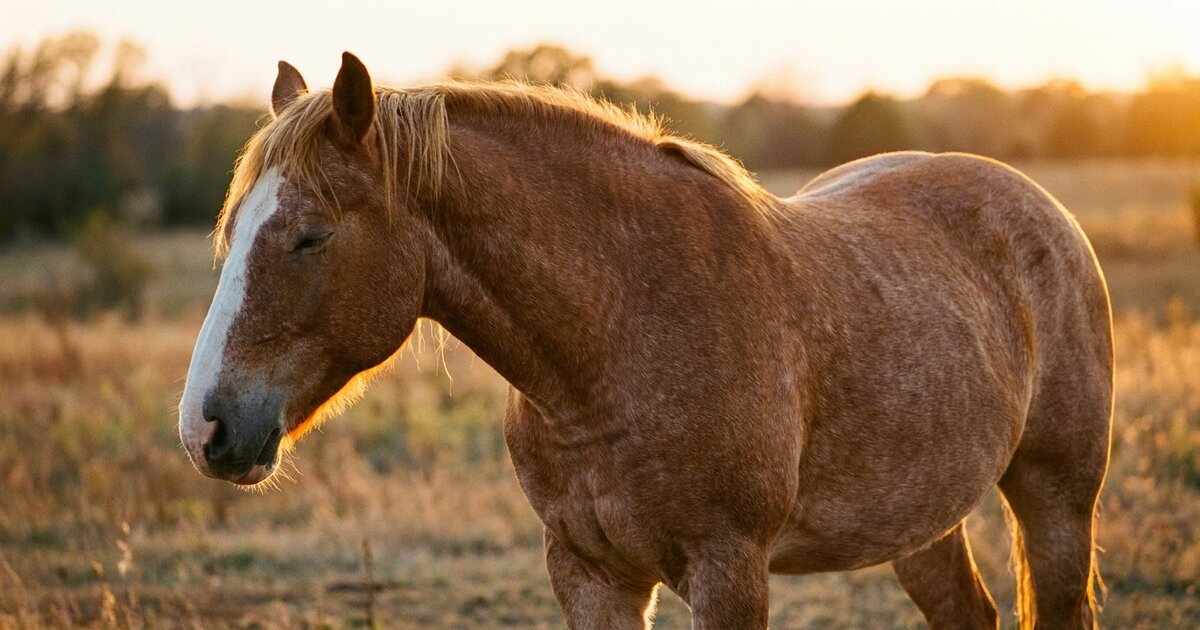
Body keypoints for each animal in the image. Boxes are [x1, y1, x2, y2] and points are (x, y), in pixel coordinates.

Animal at [178, 53, 1113, 629]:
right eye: (234, 229)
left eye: (310, 236)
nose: (205, 428)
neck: (618, 339)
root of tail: (1042, 209)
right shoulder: (590, 573)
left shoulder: (728, 569)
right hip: (922, 521)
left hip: (1056, 500)